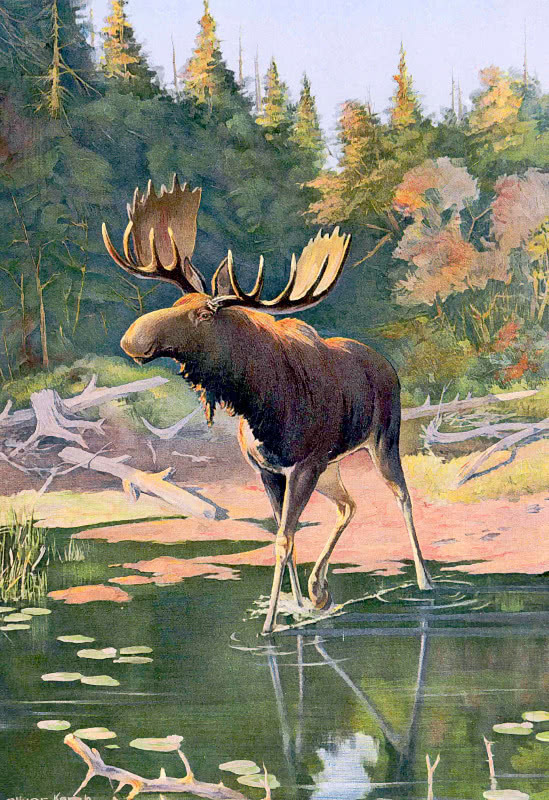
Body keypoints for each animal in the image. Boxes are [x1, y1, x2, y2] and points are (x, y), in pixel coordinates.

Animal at [102, 174, 433, 634]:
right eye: (175, 304)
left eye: (204, 314)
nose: (132, 338)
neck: (260, 405)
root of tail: (387, 365)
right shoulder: (269, 470)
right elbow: (286, 539)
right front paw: (298, 604)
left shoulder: (304, 465)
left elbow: (283, 540)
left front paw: (270, 626)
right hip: (332, 466)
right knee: (349, 504)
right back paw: (320, 589)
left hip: (383, 441)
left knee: (402, 497)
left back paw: (424, 581)